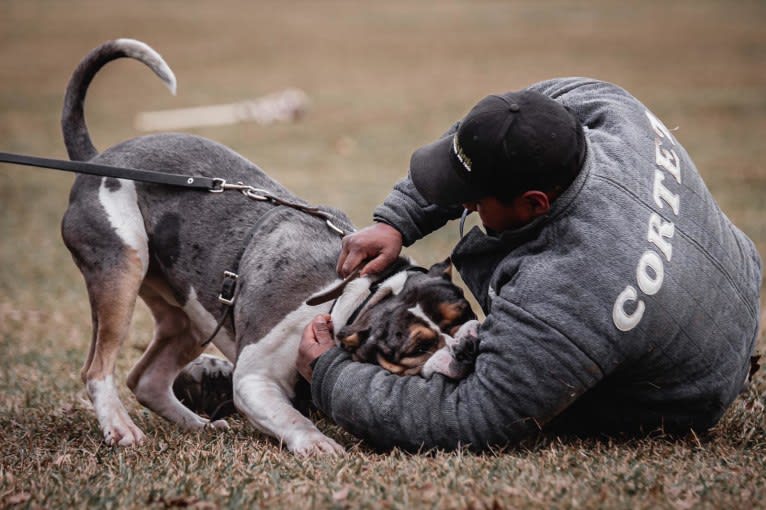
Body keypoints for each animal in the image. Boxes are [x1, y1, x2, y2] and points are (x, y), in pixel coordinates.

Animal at [61, 39, 480, 454]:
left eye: (461, 313)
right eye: (417, 348)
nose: (464, 347)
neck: (357, 297)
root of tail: (99, 158)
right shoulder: (253, 381)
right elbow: (291, 417)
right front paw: (317, 443)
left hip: (191, 316)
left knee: (146, 379)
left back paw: (200, 425)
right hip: (122, 271)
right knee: (97, 369)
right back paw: (120, 427)